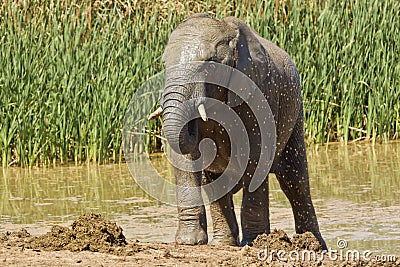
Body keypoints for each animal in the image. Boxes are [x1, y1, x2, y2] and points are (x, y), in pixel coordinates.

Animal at [148, 13, 326, 251]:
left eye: (209, 65)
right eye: (164, 65)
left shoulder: (260, 94)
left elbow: (256, 156)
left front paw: (255, 242)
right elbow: (186, 160)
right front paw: (189, 242)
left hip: (295, 111)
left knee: (294, 180)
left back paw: (315, 245)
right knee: (216, 183)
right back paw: (224, 244)